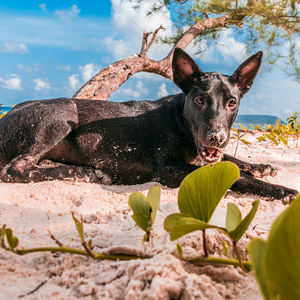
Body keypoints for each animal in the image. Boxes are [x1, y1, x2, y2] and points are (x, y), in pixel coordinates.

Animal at [0, 48, 296, 200]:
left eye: (232, 102)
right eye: (200, 100)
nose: (216, 137)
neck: (182, 123)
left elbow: (232, 159)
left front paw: (261, 166)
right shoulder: (168, 170)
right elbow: (235, 176)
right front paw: (282, 190)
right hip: (63, 111)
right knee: (14, 169)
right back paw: (81, 172)